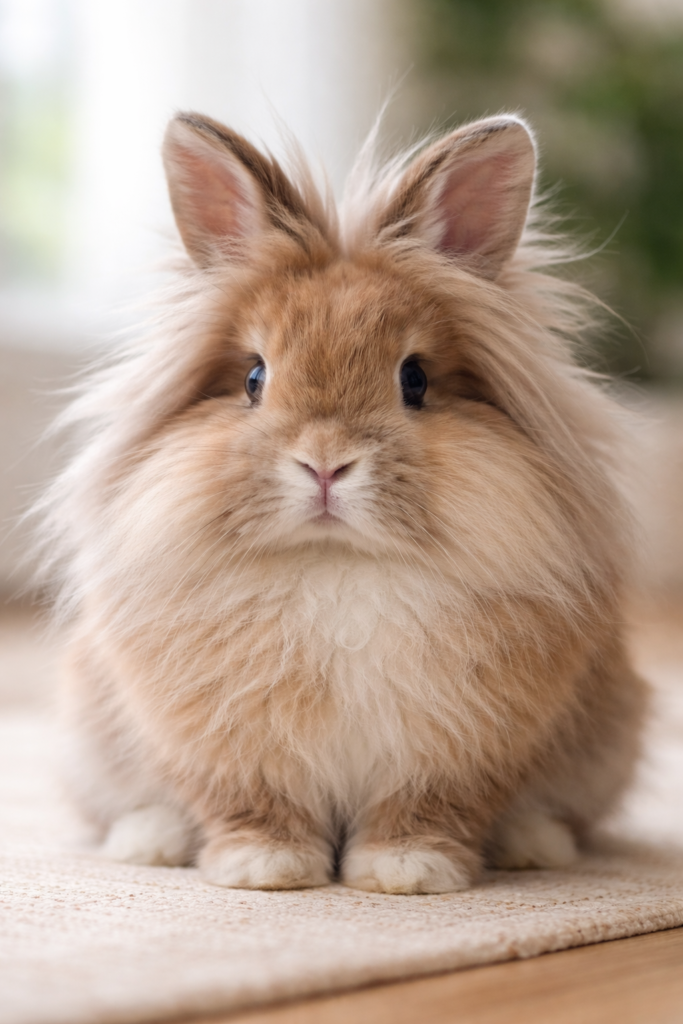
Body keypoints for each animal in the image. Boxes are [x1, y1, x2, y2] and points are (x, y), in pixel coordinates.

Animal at [42, 110, 647, 894]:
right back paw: (147, 842)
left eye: (414, 379)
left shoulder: (457, 749)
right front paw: (264, 869)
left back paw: (534, 844)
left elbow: (426, 806)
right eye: (254, 377)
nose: (324, 464)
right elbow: (250, 801)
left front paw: (406, 873)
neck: (336, 565)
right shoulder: (227, 745)